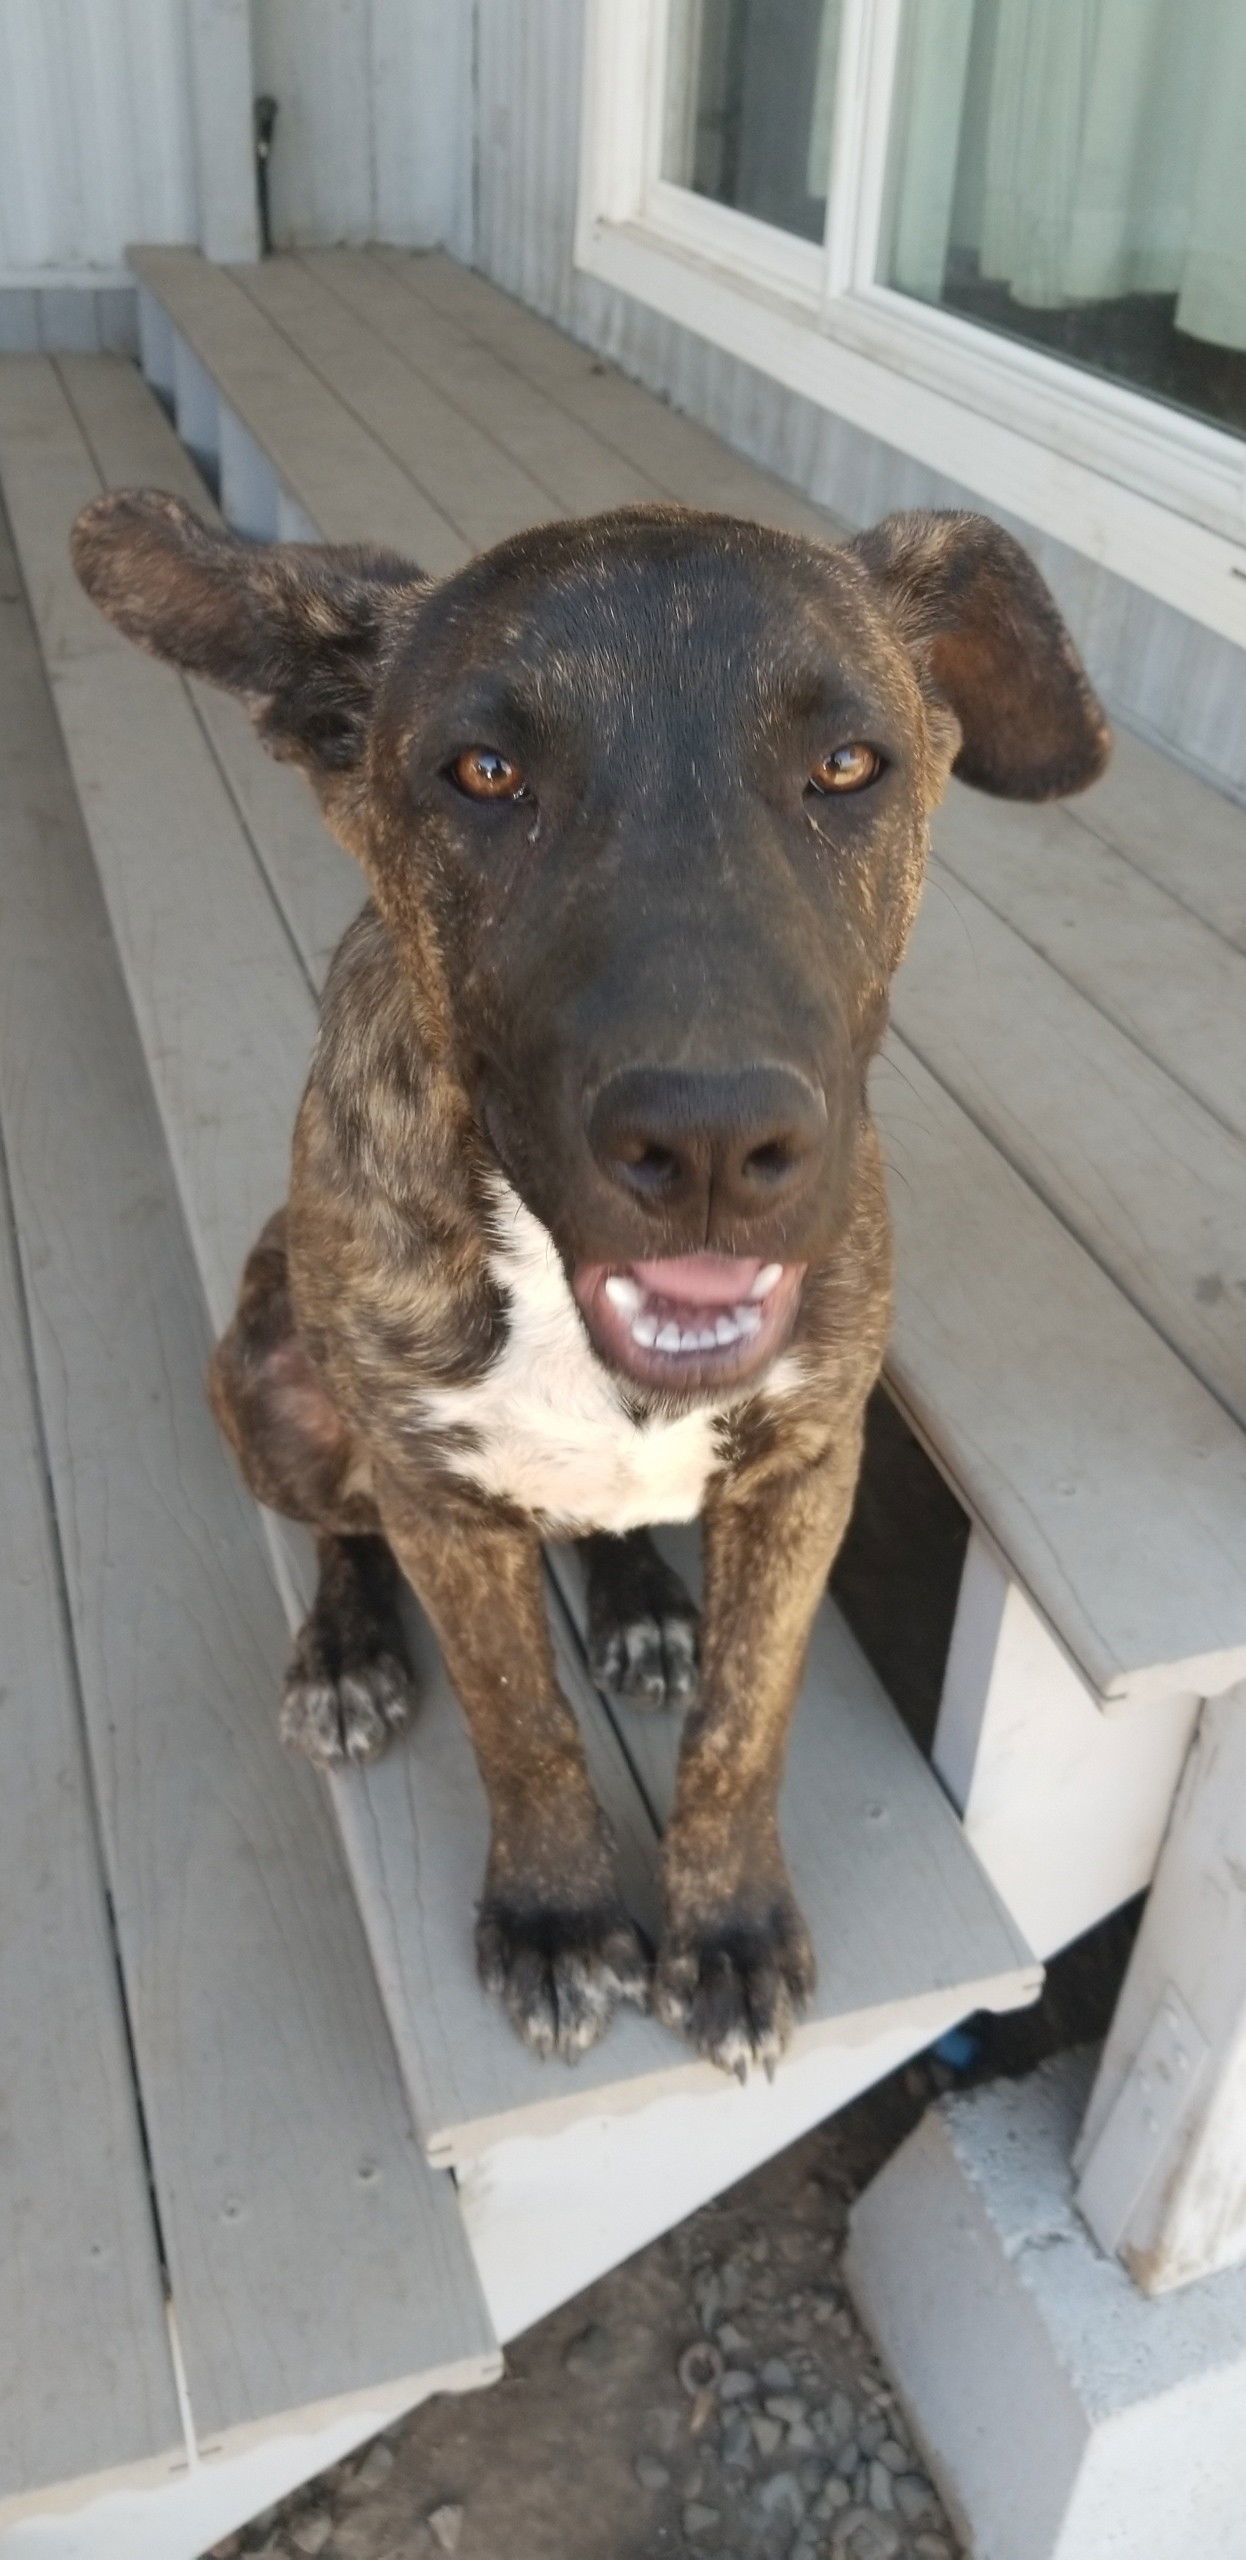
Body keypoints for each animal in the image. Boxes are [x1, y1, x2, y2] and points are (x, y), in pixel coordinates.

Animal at [70, 488, 1110, 2068]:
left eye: (847, 764)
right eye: (485, 773)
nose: (711, 1142)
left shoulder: (809, 1464)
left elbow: (745, 1726)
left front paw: (725, 1925)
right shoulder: (437, 1497)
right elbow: (518, 1722)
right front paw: (558, 1916)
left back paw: (636, 1602)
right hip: (264, 1380)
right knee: (340, 1529)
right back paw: (344, 1650)